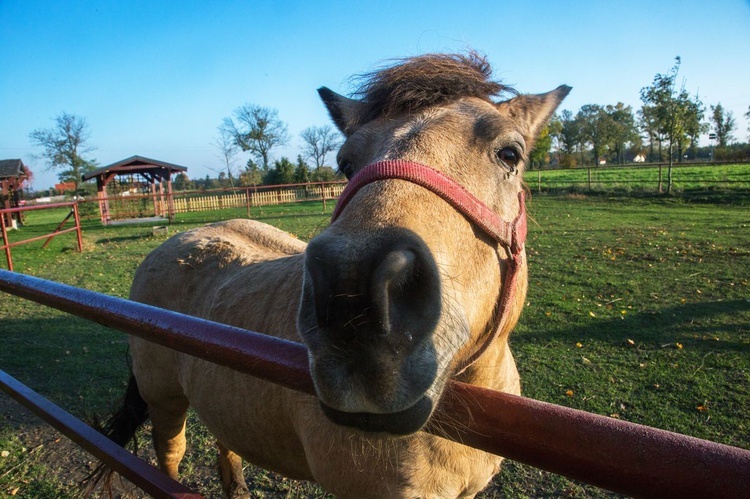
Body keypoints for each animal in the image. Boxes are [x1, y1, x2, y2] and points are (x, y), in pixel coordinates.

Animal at [107, 52, 568, 498]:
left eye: (510, 154)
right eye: (346, 163)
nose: (351, 293)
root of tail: (174, 241)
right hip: (165, 403)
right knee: (168, 457)